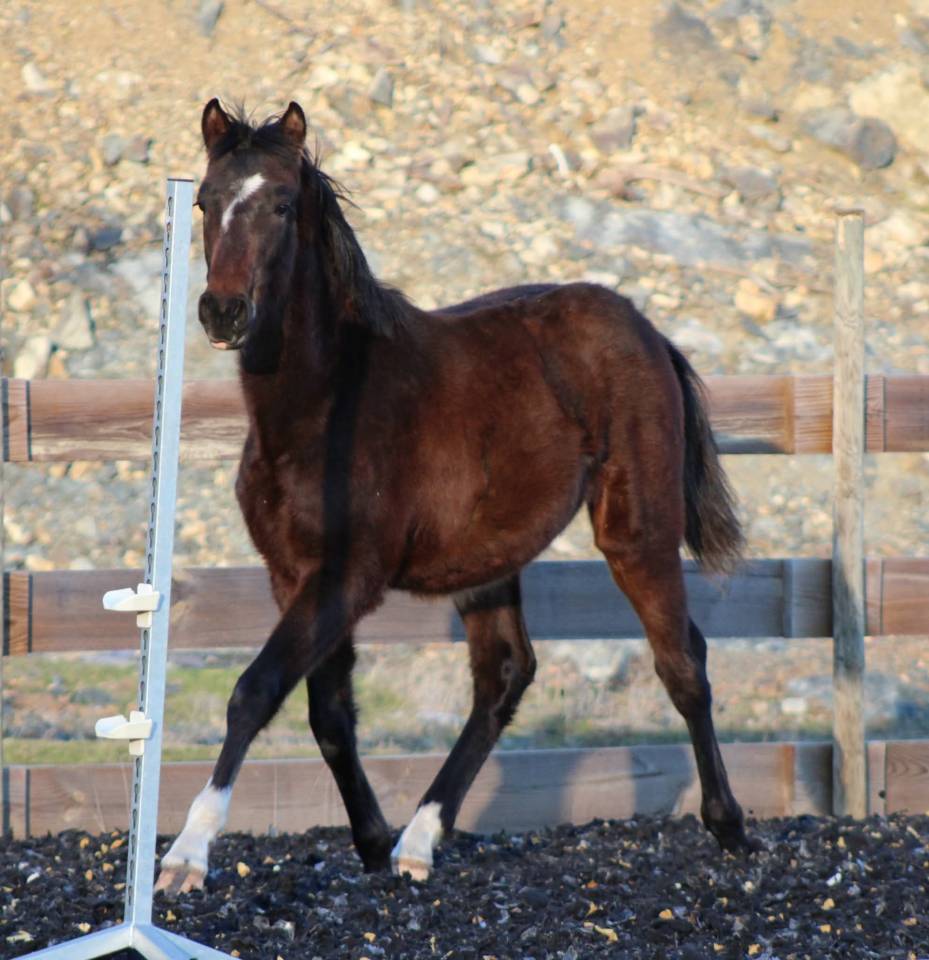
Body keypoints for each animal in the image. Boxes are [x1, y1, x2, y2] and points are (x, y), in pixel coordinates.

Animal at [154, 99, 754, 895]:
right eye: (203, 202)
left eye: (281, 204)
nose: (223, 311)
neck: (325, 406)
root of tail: (647, 328)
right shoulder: (293, 576)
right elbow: (328, 714)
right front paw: (373, 843)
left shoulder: (348, 578)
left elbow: (256, 690)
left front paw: (186, 855)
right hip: (488, 558)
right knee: (504, 675)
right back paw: (417, 840)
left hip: (637, 529)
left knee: (681, 660)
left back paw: (730, 827)